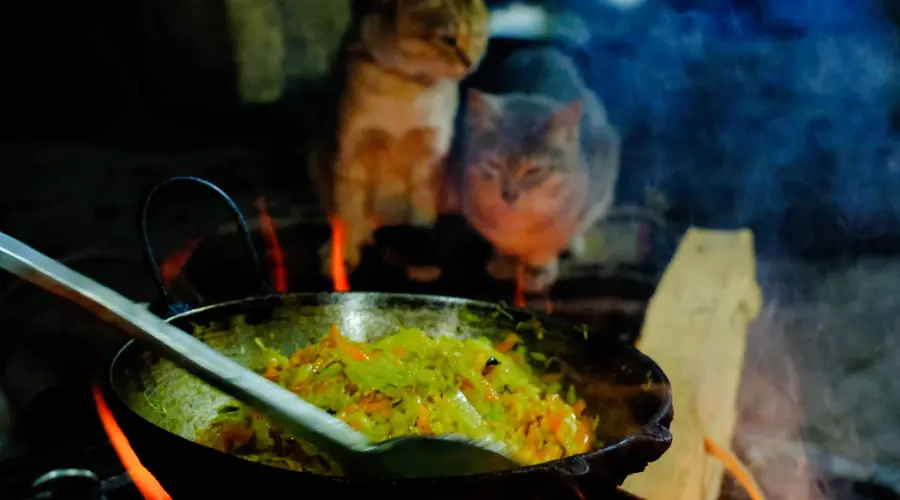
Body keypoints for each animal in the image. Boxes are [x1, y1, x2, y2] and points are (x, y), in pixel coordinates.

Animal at [312, 0, 488, 278]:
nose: (471, 63)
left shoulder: (429, 161)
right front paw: (343, 255)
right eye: (448, 39)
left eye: (479, 36)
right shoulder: (350, 154)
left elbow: (421, 213)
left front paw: (419, 258)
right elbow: (348, 211)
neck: (406, 88)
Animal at [460, 47, 624, 292]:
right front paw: (505, 260)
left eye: (533, 171)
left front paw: (539, 268)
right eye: (496, 164)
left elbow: (550, 242)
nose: (509, 195)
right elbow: (501, 241)